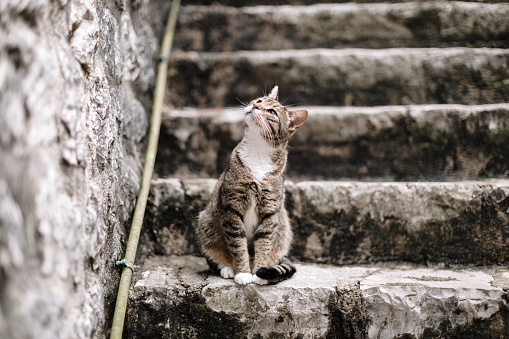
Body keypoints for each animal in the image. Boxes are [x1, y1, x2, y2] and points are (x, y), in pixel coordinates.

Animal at [194, 86, 306, 286]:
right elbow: (238, 245)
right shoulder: (232, 205)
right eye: (260, 100)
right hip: (205, 224)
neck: (257, 150)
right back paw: (227, 268)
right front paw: (243, 273)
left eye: (272, 112)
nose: (255, 105)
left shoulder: (270, 210)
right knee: (213, 255)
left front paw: (258, 273)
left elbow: (264, 243)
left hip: (284, 229)